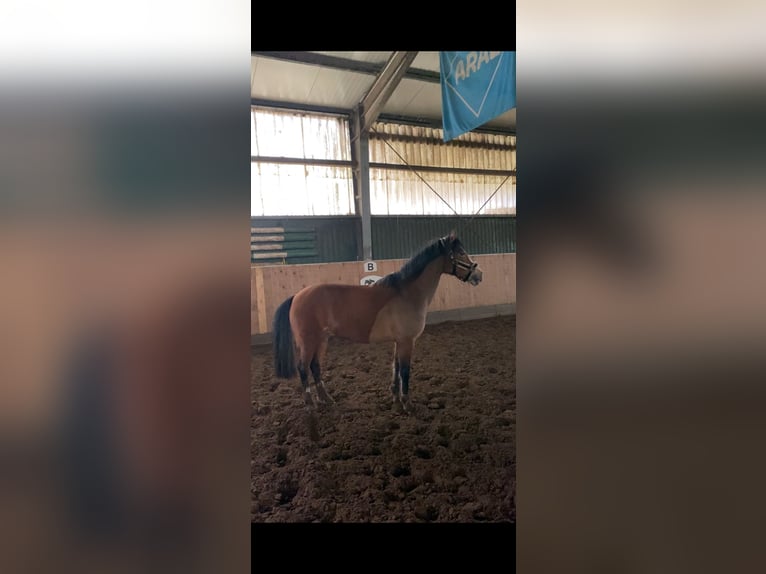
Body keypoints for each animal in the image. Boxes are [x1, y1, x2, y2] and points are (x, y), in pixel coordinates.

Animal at [272, 232, 484, 412]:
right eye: (461, 253)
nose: (478, 275)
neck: (407, 293)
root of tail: (297, 296)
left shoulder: (399, 341)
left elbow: (395, 368)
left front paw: (396, 398)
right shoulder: (407, 341)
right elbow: (404, 371)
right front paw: (407, 404)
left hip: (321, 340)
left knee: (315, 366)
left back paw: (327, 399)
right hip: (308, 341)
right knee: (303, 368)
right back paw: (310, 404)